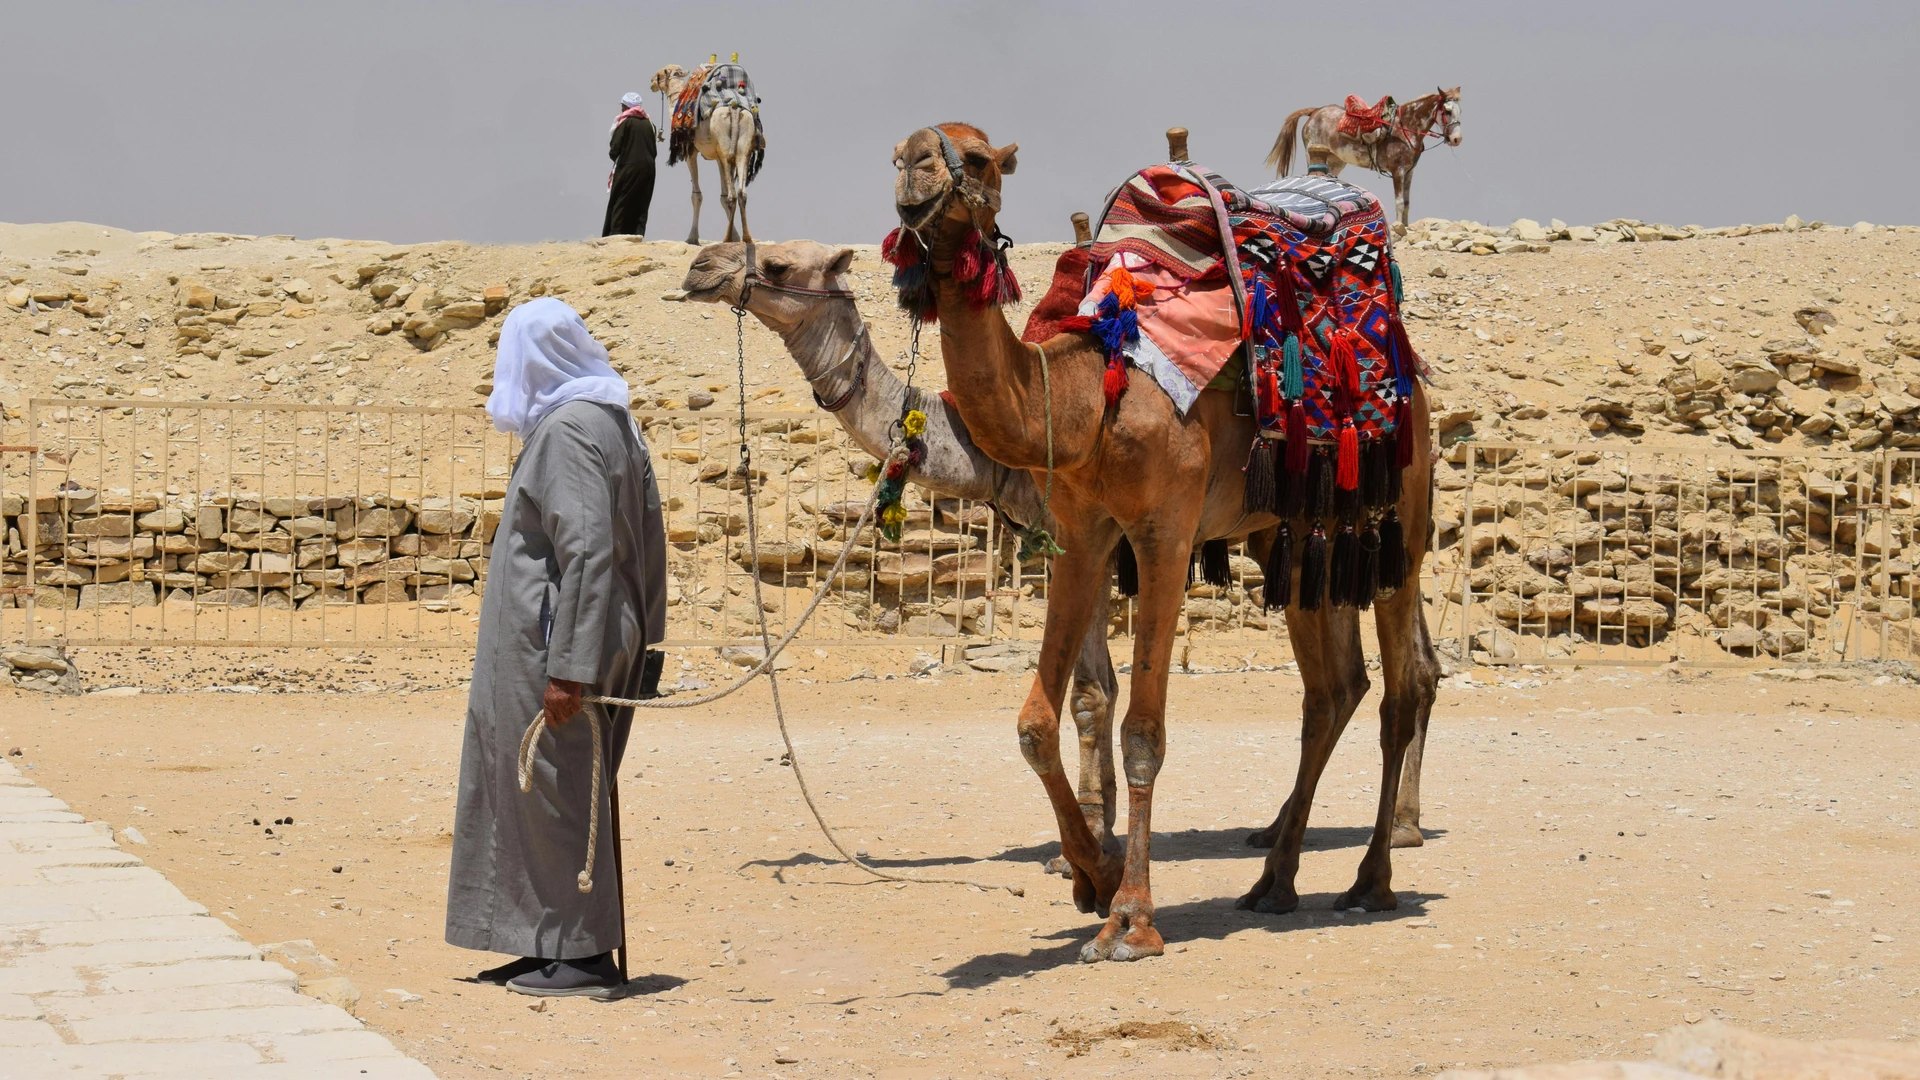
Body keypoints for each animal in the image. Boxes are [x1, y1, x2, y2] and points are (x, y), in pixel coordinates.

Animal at [650, 64, 762, 245]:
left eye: (659, 74)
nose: (651, 82)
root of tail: (734, 107)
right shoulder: (717, 156)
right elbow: (722, 195)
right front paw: (736, 237)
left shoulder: (690, 150)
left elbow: (697, 195)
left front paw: (692, 237)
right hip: (741, 144)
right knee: (740, 192)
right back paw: (746, 237)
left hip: (723, 143)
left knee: (732, 195)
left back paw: (727, 238)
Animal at [888, 123, 1442, 962]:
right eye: (898, 153)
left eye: (977, 157)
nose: (916, 168)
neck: (1087, 399)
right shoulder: (1082, 532)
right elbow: (1036, 722)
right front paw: (1093, 873)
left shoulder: (1165, 535)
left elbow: (1142, 731)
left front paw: (1131, 919)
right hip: (1291, 537)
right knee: (1334, 690)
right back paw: (1275, 881)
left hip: (1396, 520)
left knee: (1402, 688)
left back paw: (1370, 880)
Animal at [1267, 88, 1463, 229]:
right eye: (1447, 111)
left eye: (1460, 111)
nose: (1456, 139)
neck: (1404, 128)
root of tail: (1315, 112)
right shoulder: (1398, 171)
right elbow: (1399, 203)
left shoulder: (1409, 172)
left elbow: (1407, 203)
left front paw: (1405, 228)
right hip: (1314, 156)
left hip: (1336, 162)